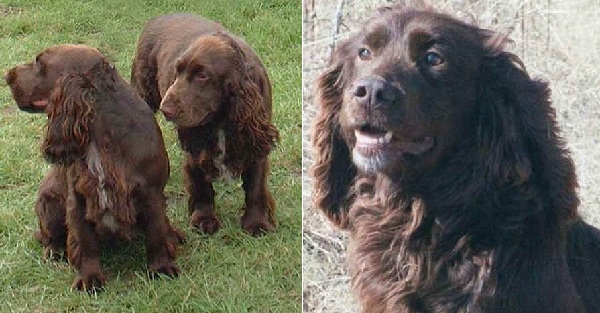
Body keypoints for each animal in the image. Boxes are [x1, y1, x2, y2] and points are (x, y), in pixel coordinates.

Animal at [4, 45, 183, 292]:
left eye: (40, 62)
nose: (7, 76)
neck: (100, 134)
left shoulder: (152, 193)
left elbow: (156, 233)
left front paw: (161, 267)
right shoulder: (79, 199)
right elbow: (85, 242)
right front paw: (89, 278)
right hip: (48, 203)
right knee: (47, 235)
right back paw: (55, 250)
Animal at [131, 14, 278, 234]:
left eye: (202, 75)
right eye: (177, 71)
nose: (166, 109)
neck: (222, 118)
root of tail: (158, 17)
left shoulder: (256, 140)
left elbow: (255, 187)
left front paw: (257, 222)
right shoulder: (195, 147)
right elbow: (200, 185)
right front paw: (203, 218)